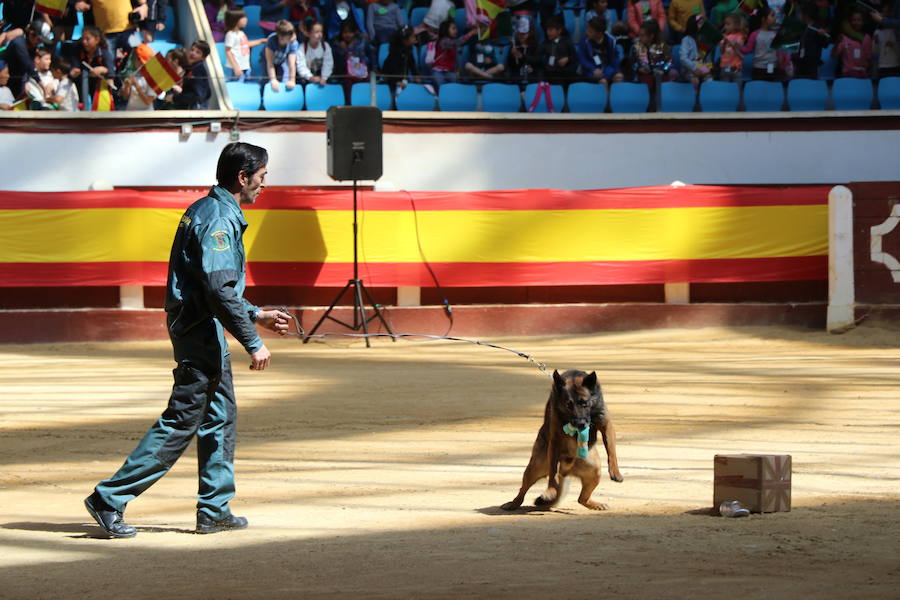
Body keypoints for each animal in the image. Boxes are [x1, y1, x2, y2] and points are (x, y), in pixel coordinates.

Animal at [502, 370, 624, 510]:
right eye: (568, 404)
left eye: (584, 403)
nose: (580, 423)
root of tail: (566, 470)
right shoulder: (555, 439)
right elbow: (552, 472)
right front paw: (550, 490)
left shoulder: (606, 426)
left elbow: (612, 451)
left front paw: (615, 472)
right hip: (535, 468)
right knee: (525, 488)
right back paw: (515, 502)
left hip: (595, 472)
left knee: (581, 499)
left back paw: (594, 504)